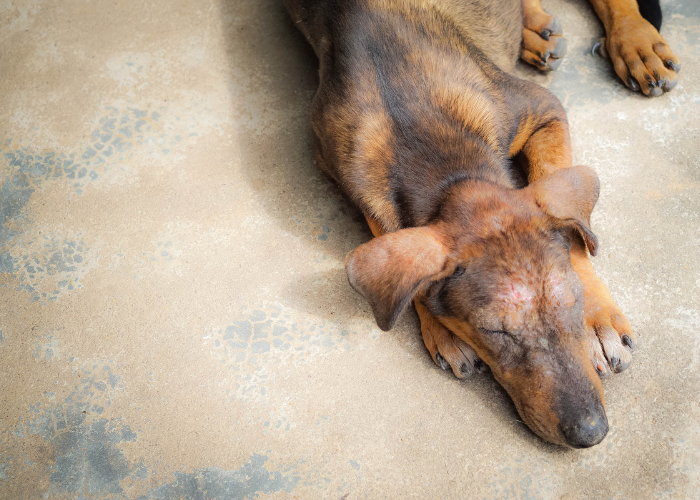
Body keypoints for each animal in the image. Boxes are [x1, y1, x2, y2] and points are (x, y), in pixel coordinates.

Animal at [284, 0, 680, 448]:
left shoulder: (544, 110)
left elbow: (571, 227)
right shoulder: (348, 174)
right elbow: (398, 240)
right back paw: (536, 32)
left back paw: (635, 43)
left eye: (573, 301)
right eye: (493, 332)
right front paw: (441, 329)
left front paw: (598, 323)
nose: (591, 432)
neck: (435, 154)